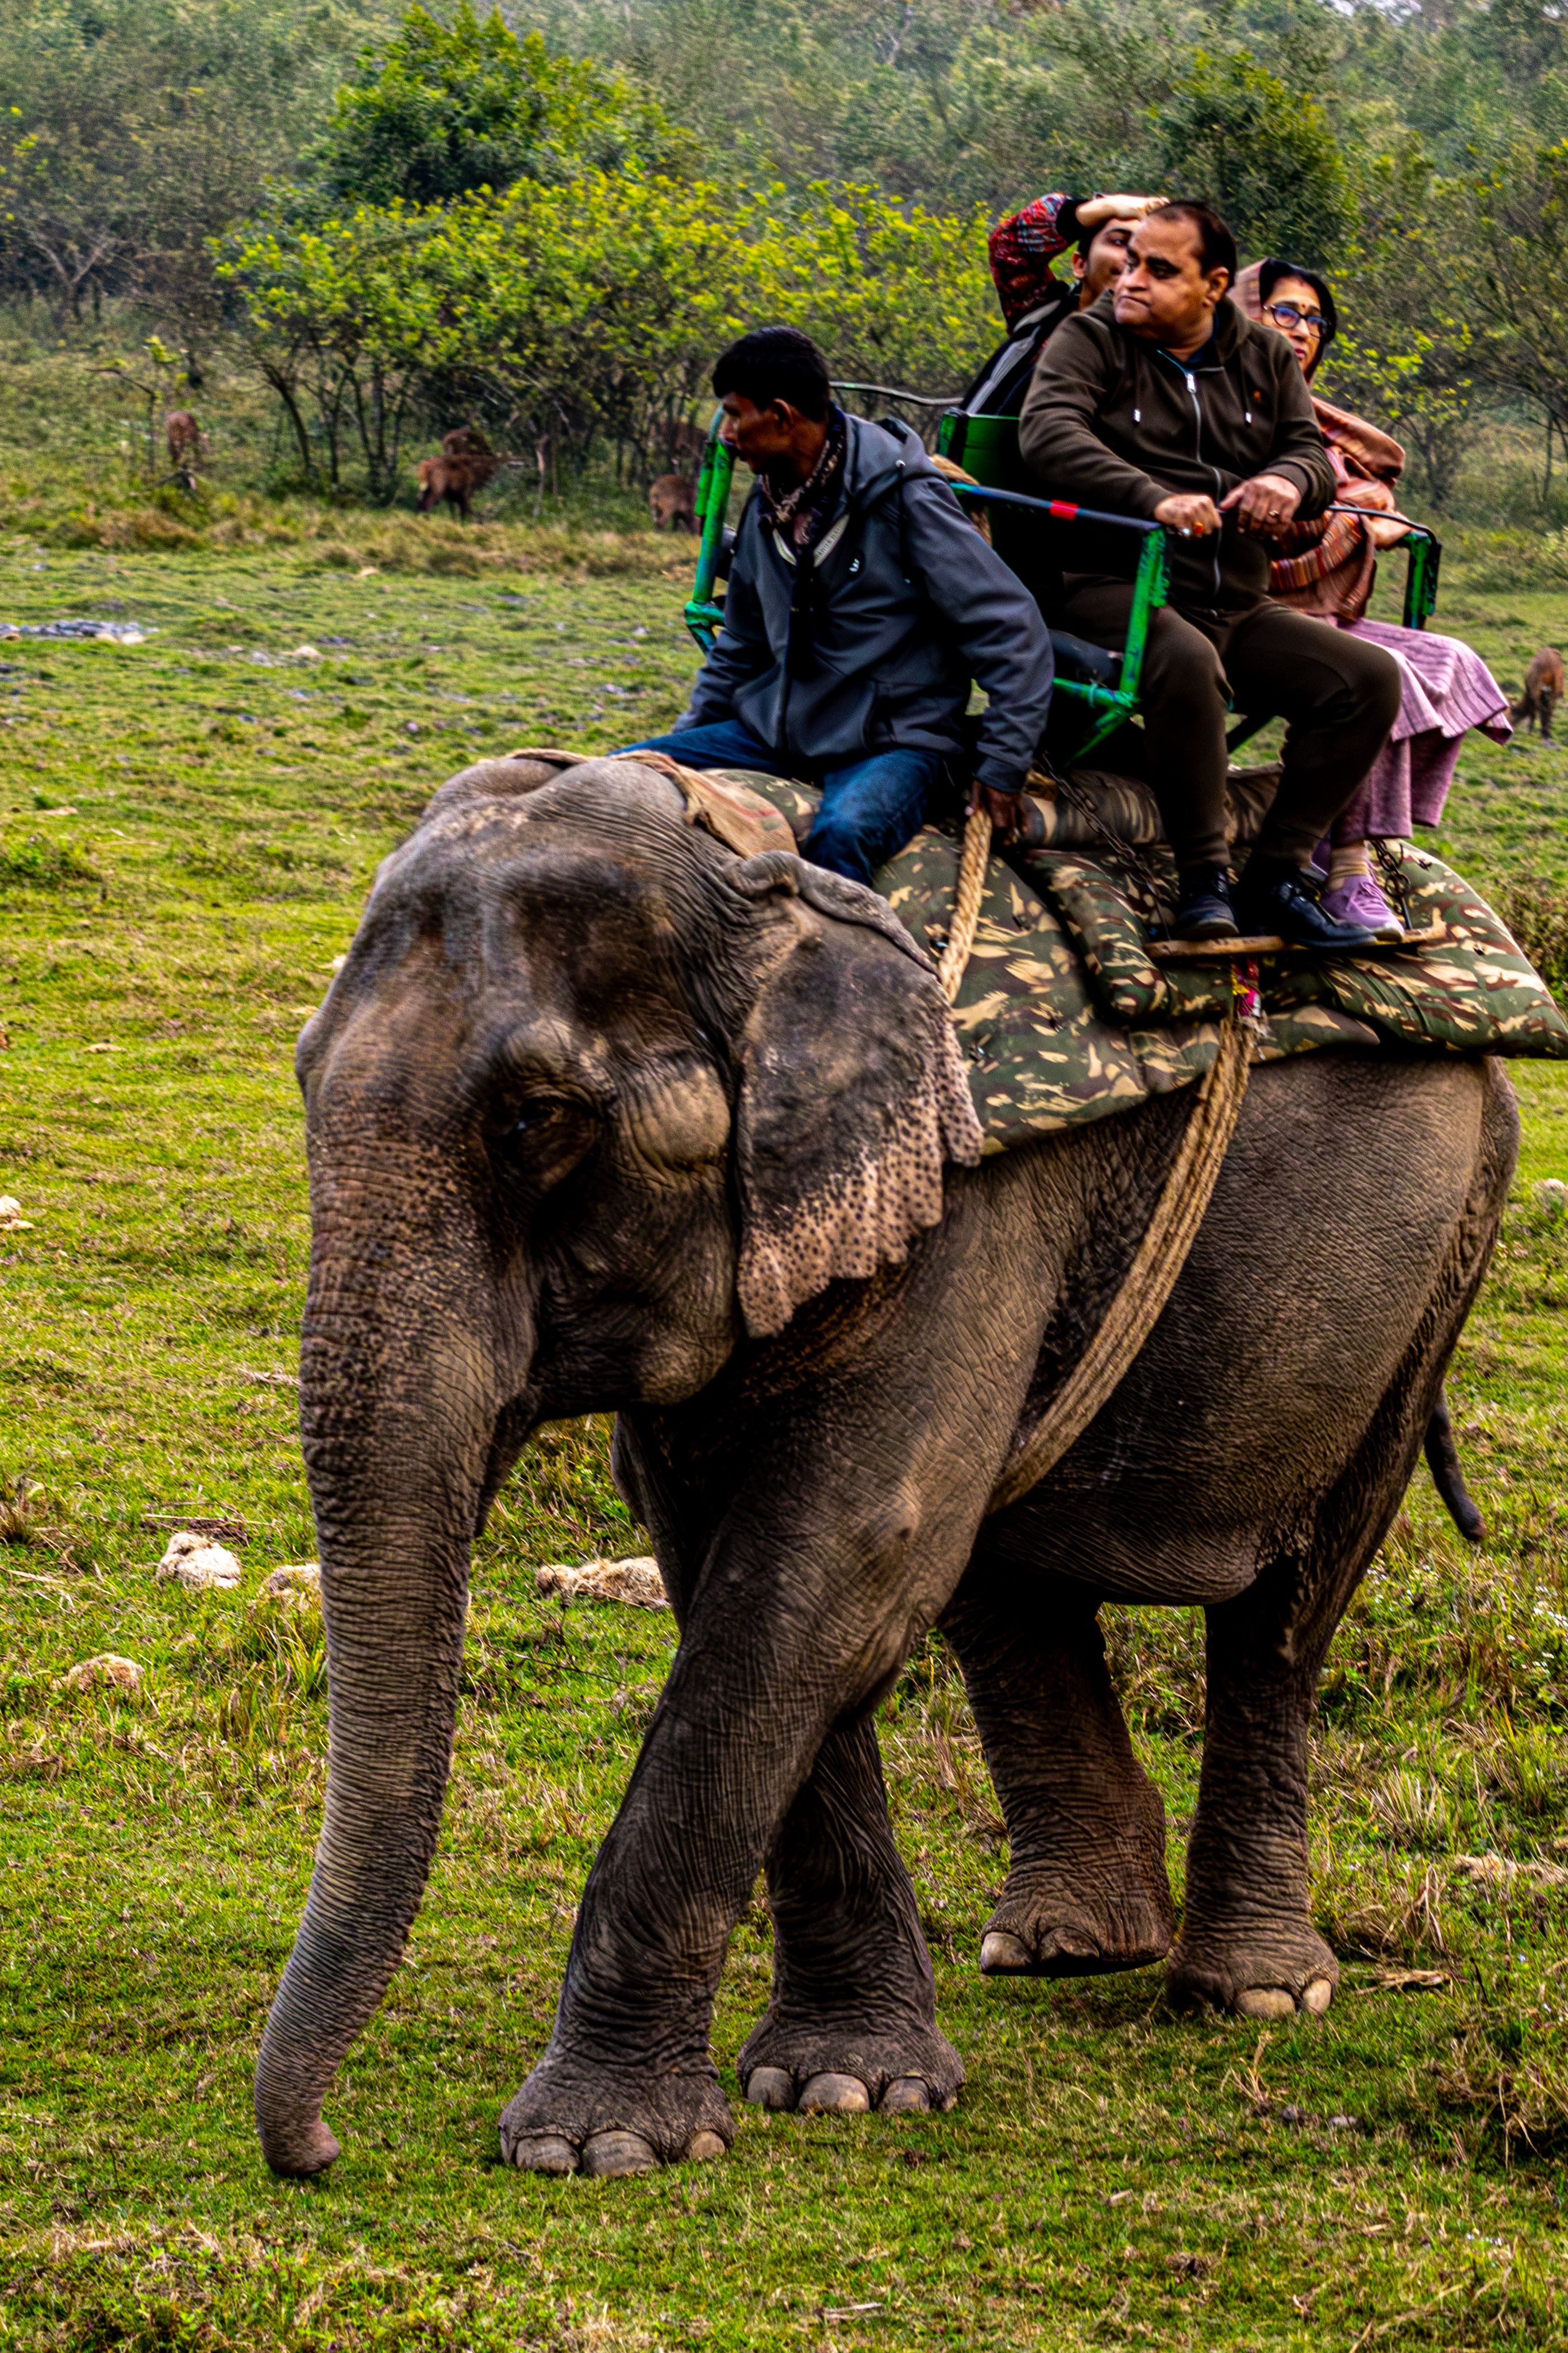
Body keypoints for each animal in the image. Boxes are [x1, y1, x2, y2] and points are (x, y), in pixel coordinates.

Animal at [256, 752, 1516, 2183]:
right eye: (303, 1080)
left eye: (535, 1118)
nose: (318, 2151)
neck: (755, 862)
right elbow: (742, 1566)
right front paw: (841, 2087)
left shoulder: (969, 1194)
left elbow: (838, 1552)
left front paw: (597, 2148)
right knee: (1005, 1583)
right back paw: (1069, 1946)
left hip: (1444, 1249)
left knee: (1288, 1599)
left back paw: (1249, 1989)